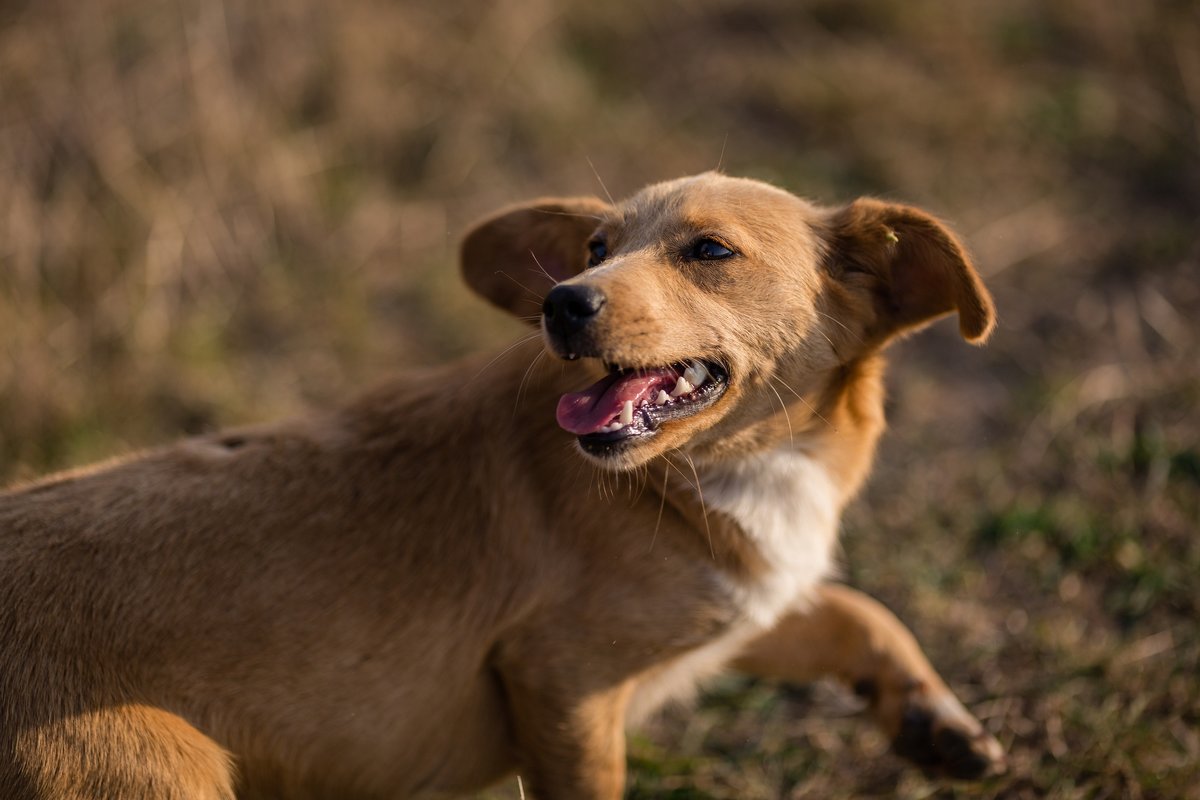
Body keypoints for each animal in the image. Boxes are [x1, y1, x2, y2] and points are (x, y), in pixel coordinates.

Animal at [2, 172, 1003, 796]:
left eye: (710, 251)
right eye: (595, 246)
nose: (561, 301)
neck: (716, 475)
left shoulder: (743, 606)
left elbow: (857, 612)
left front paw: (935, 719)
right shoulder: (563, 682)